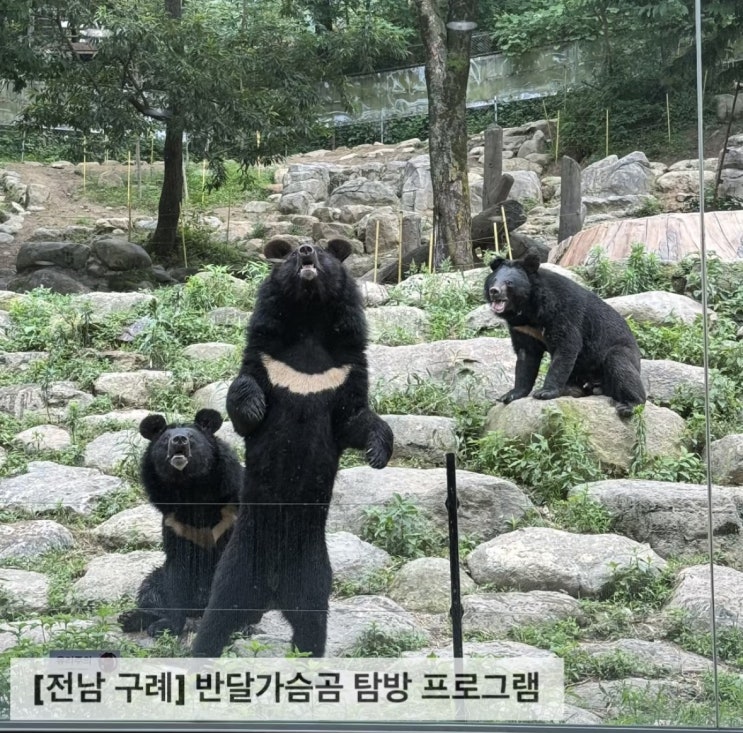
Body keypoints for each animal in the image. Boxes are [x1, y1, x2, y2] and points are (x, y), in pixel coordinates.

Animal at [118, 408, 243, 638]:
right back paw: (132, 618)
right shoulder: (175, 525)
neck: (189, 487)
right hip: (157, 577)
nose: (179, 440)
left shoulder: (230, 515)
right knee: (151, 589)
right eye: (166, 438)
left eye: (191, 437)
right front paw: (167, 626)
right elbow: (176, 574)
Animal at [191, 237, 394, 658]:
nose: (305, 251)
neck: (309, 323)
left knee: (313, 624)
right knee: (217, 617)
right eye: (288, 254)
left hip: (314, 576)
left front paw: (378, 453)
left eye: (325, 252)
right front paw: (253, 406)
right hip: (236, 567)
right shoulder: (268, 358)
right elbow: (245, 394)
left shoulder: (345, 370)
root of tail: (271, 594)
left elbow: (354, 418)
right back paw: (200, 652)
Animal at [484, 252, 646, 417]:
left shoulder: (562, 313)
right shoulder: (522, 328)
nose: (494, 291)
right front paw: (510, 395)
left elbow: (566, 346)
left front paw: (544, 392)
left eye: (509, 283)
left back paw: (629, 405)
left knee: (621, 366)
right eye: (493, 280)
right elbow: (525, 357)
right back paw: (572, 389)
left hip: (621, 352)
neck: (529, 310)